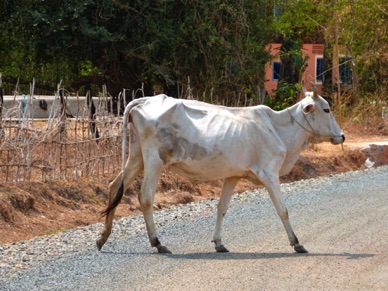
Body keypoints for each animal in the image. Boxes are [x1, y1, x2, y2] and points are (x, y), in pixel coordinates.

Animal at [97, 83, 346, 254]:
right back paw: (157, 243)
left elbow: (221, 208)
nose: (342, 136)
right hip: (154, 160)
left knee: (114, 187)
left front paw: (218, 242)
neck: (278, 128)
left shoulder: (232, 176)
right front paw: (296, 243)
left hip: (137, 157)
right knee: (145, 197)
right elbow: (282, 210)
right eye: (326, 109)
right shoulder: (269, 175)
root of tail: (143, 100)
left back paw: (102, 238)